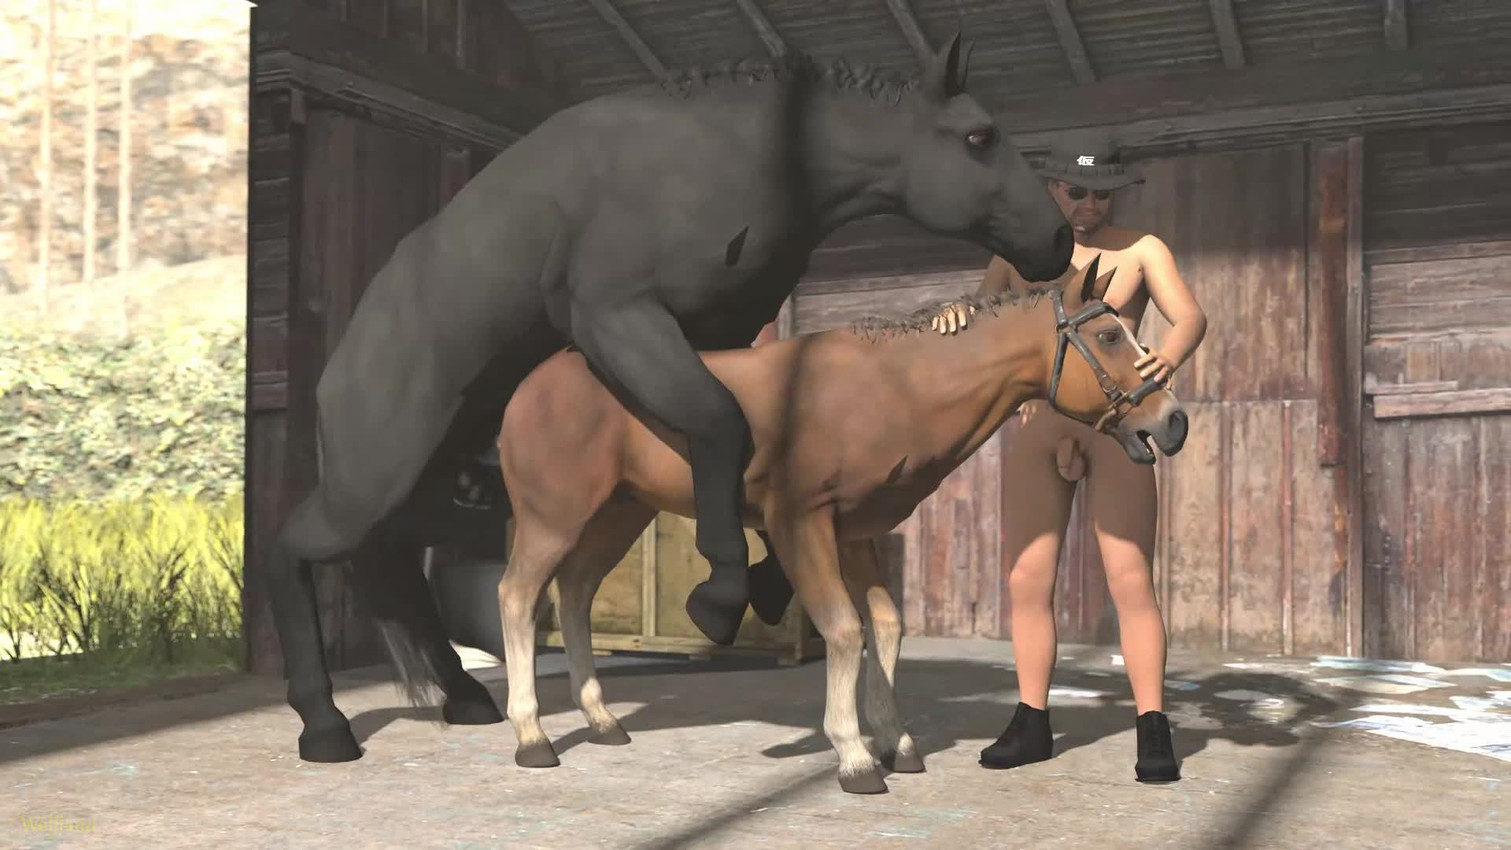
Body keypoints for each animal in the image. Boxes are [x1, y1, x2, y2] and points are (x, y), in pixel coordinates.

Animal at [270, 33, 1074, 764]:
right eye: (979, 136)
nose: (1062, 241)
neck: (739, 156)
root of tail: (340, 361)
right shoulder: (618, 317)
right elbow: (721, 421)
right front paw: (719, 596)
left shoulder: (714, 332)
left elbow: (740, 436)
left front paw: (759, 587)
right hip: (373, 482)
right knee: (299, 548)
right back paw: (326, 728)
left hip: (441, 485)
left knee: (398, 560)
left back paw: (470, 701)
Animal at [426, 257, 1187, 795]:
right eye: (1108, 334)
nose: (1172, 421)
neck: (894, 387)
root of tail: (531, 385)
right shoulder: (801, 523)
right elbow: (845, 629)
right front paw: (854, 755)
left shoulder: (855, 532)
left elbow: (885, 627)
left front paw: (896, 743)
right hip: (553, 515)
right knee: (518, 596)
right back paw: (533, 738)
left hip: (619, 511)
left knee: (576, 595)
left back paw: (604, 723)